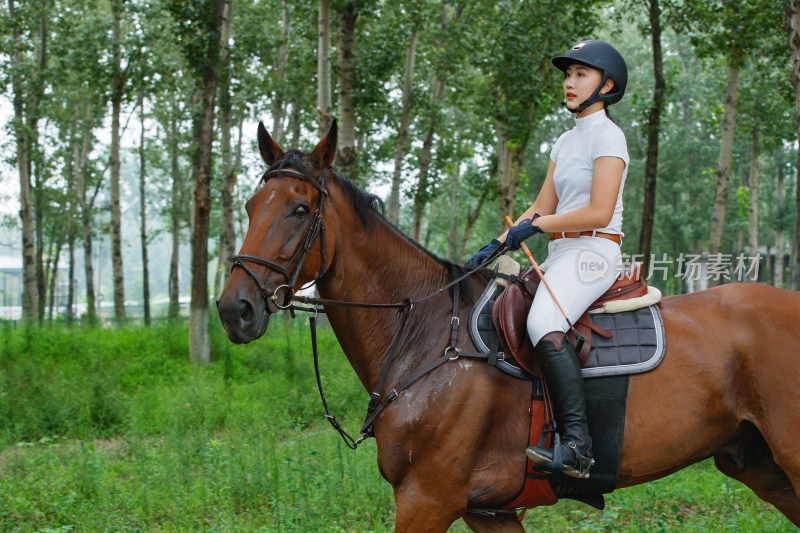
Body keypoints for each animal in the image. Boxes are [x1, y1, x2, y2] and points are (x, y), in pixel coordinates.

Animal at [216, 122, 800, 528]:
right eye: (249, 204)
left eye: (298, 210)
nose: (234, 309)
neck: (428, 332)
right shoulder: (487, 510)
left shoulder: (427, 499)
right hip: (759, 464)